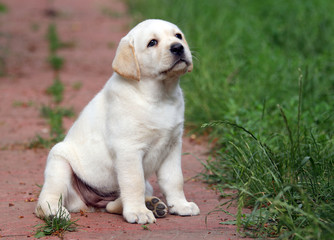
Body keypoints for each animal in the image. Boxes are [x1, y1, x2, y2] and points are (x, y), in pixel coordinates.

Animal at [35, 19, 200, 224]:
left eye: (178, 36)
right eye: (152, 43)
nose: (178, 47)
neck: (160, 96)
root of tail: (90, 204)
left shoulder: (172, 146)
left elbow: (174, 179)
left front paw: (181, 205)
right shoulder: (128, 149)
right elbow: (134, 182)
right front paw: (138, 212)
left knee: (113, 204)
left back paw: (152, 204)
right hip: (59, 162)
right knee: (47, 198)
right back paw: (54, 212)